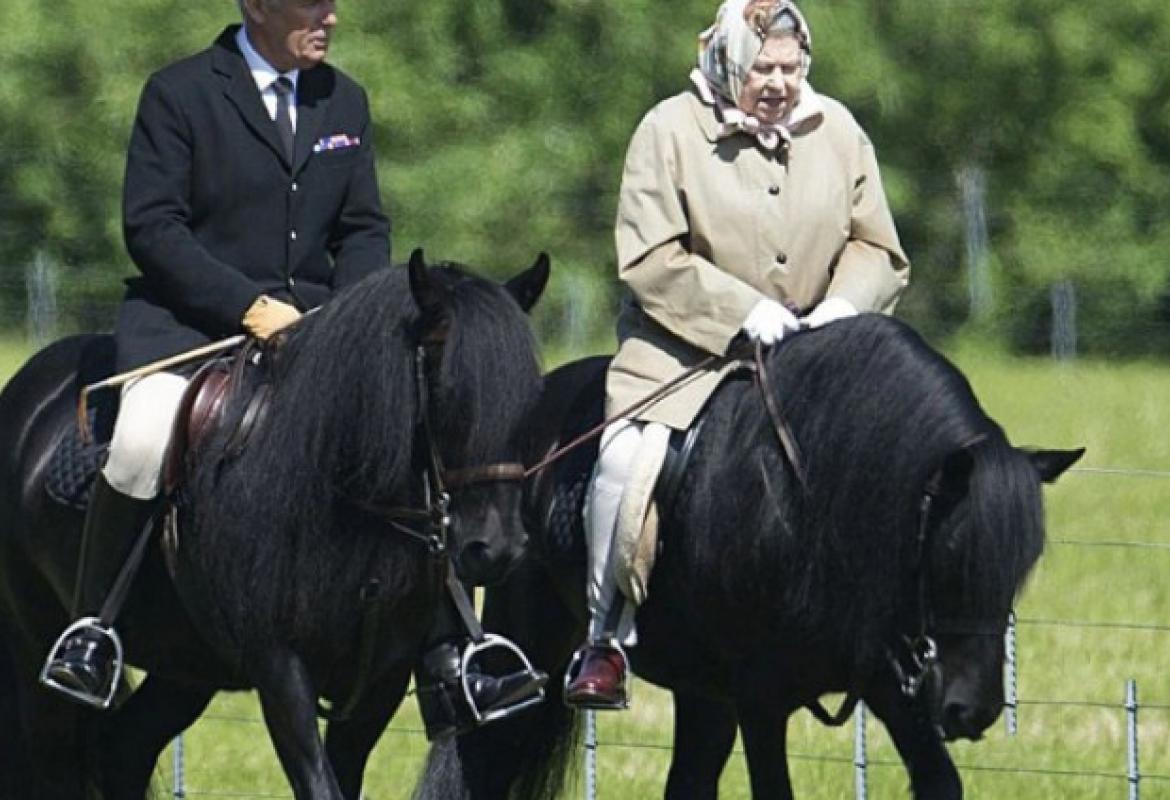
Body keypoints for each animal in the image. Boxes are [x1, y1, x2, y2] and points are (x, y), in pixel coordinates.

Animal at [0, 249, 550, 800]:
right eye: (444, 387)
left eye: (528, 396)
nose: (496, 548)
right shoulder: (280, 671)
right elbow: (319, 783)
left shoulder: (379, 682)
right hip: (35, 655)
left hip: (186, 668)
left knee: (124, 748)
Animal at [414, 313, 1082, 800]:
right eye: (949, 558)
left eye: (1018, 570)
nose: (973, 709)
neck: (814, 498)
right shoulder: (763, 697)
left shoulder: (893, 689)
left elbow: (939, 781)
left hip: (701, 689)